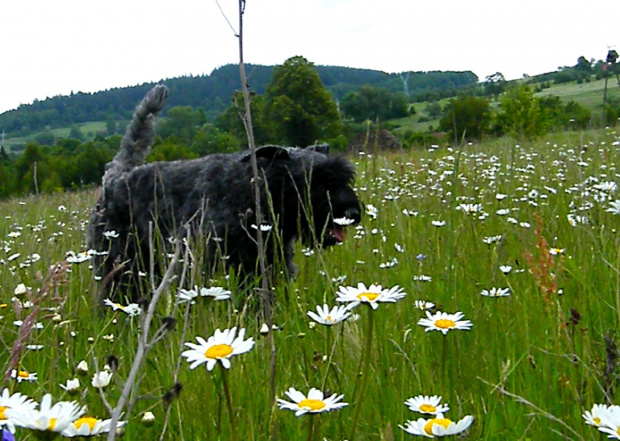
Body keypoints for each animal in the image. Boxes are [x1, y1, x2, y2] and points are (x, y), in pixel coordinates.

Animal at [89, 84, 366, 300]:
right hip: (118, 262)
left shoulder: (269, 266)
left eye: (344, 175)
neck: (251, 194)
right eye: (314, 180)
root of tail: (113, 175)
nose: (352, 212)